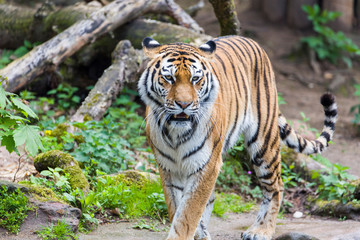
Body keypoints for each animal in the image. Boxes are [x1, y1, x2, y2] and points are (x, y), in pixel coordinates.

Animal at [138, 34, 338, 240]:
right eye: (168, 78)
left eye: (195, 79)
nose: (184, 104)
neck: (176, 133)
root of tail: (248, 39)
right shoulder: (169, 168)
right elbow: (177, 208)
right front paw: (194, 231)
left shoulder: (206, 165)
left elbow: (187, 213)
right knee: (212, 197)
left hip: (264, 144)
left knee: (276, 187)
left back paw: (261, 231)